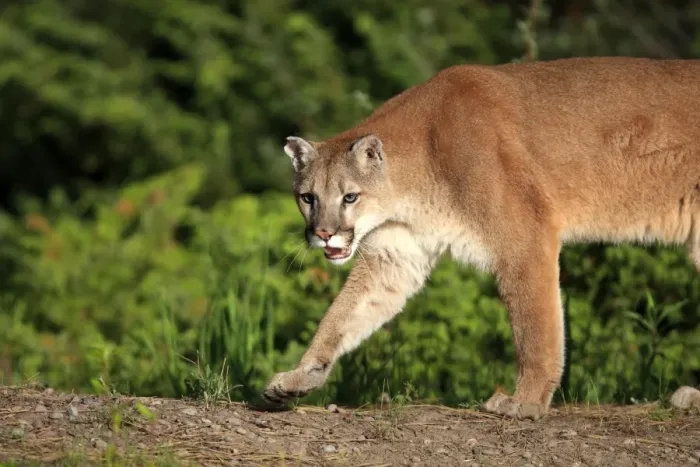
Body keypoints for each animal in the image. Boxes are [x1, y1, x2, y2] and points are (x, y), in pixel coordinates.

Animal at [261, 57, 700, 419]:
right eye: (308, 197)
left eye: (350, 196)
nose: (323, 233)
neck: (411, 183)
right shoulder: (396, 257)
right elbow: (342, 316)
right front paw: (300, 376)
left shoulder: (524, 241)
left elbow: (535, 329)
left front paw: (525, 402)